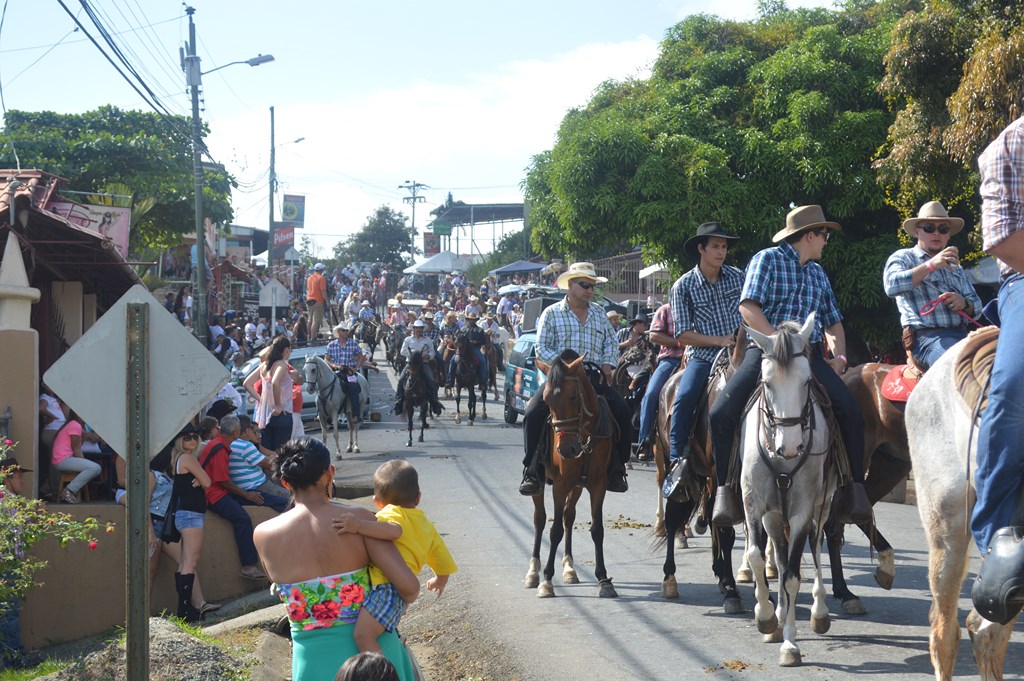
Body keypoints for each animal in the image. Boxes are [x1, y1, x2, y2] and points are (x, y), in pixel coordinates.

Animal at [528, 350, 614, 593]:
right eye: (547, 400)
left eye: (574, 397)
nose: (567, 450)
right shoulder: (560, 484)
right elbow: (554, 529)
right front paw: (547, 580)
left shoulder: (598, 483)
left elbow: (597, 529)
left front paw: (603, 578)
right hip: (540, 484)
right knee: (540, 519)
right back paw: (533, 572)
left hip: (577, 486)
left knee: (568, 516)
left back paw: (569, 568)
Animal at [741, 315, 835, 667]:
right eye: (767, 383)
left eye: (807, 381)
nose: (791, 446)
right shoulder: (754, 504)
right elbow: (757, 557)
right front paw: (766, 616)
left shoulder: (802, 511)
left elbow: (795, 575)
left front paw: (790, 645)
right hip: (772, 515)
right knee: (778, 559)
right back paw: (778, 614)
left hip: (824, 504)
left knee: (817, 547)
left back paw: (819, 612)